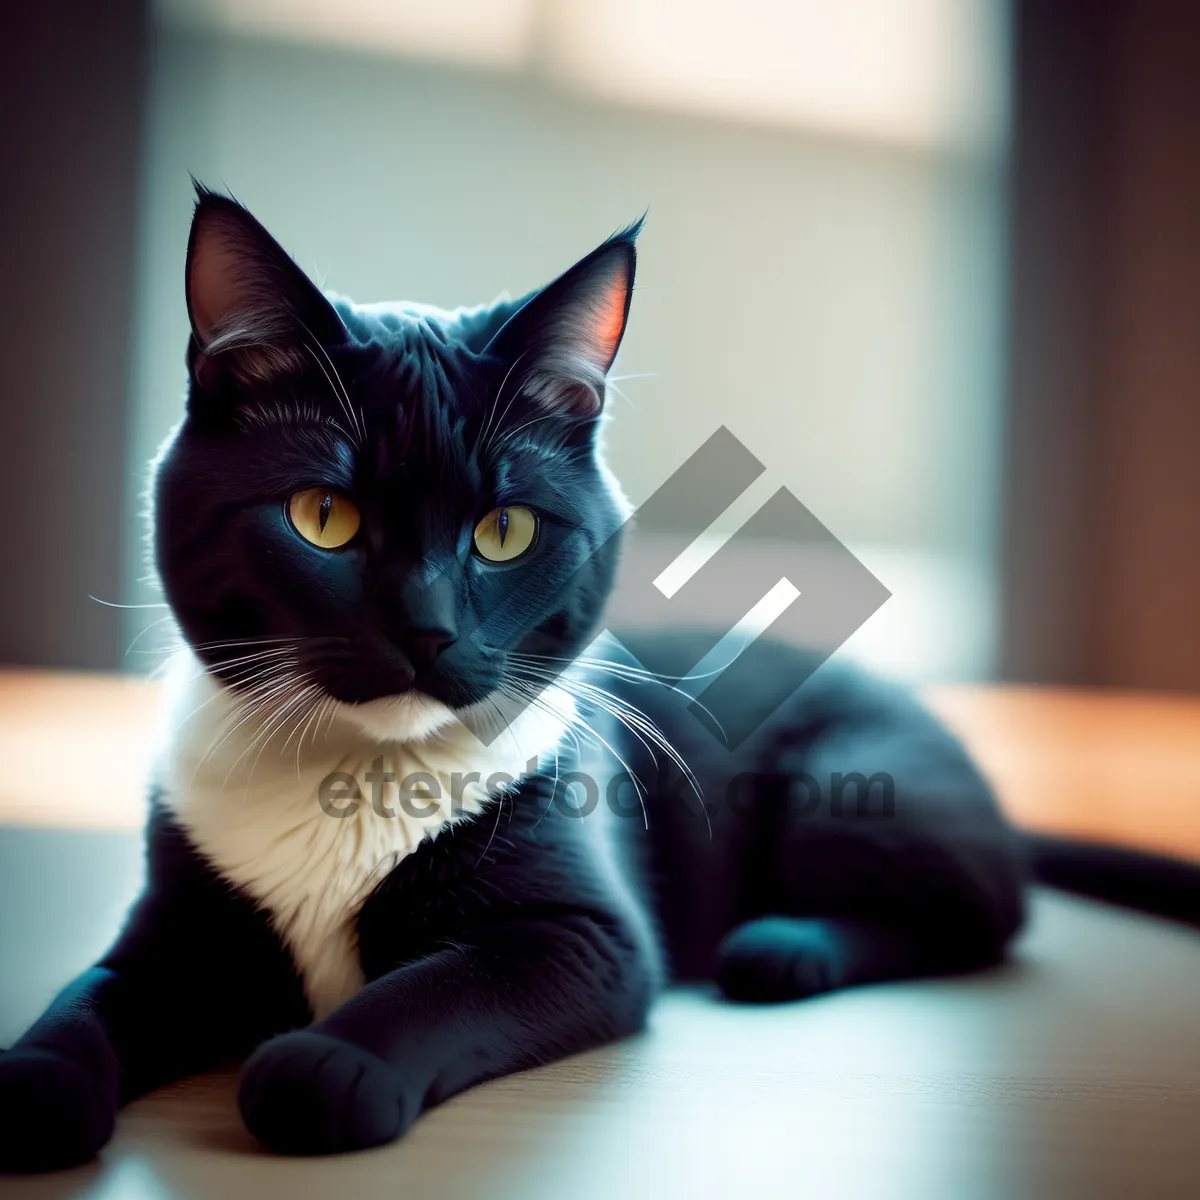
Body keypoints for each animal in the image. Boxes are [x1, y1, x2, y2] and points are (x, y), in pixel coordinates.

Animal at [0, 189, 1195, 1171]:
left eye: (505, 530)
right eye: (322, 517)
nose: (427, 630)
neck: (360, 778)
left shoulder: (588, 933)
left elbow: (440, 985)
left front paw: (330, 1063)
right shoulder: (181, 927)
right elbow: (95, 993)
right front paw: (35, 1083)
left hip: (847, 786)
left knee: (982, 912)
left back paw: (784, 948)